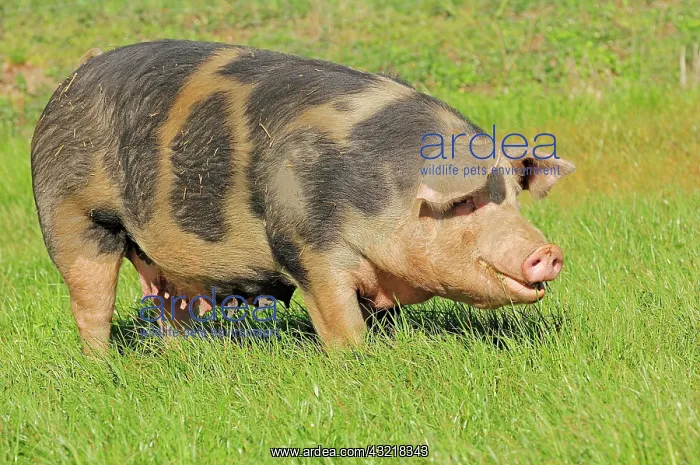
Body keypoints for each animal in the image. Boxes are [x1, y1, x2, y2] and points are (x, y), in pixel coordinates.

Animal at [31, 40, 574, 353]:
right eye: (466, 203)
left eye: (514, 200)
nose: (547, 251)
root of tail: (63, 89)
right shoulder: (306, 245)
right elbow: (339, 319)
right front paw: (356, 361)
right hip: (71, 215)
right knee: (91, 303)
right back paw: (102, 367)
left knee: (172, 308)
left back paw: (186, 357)